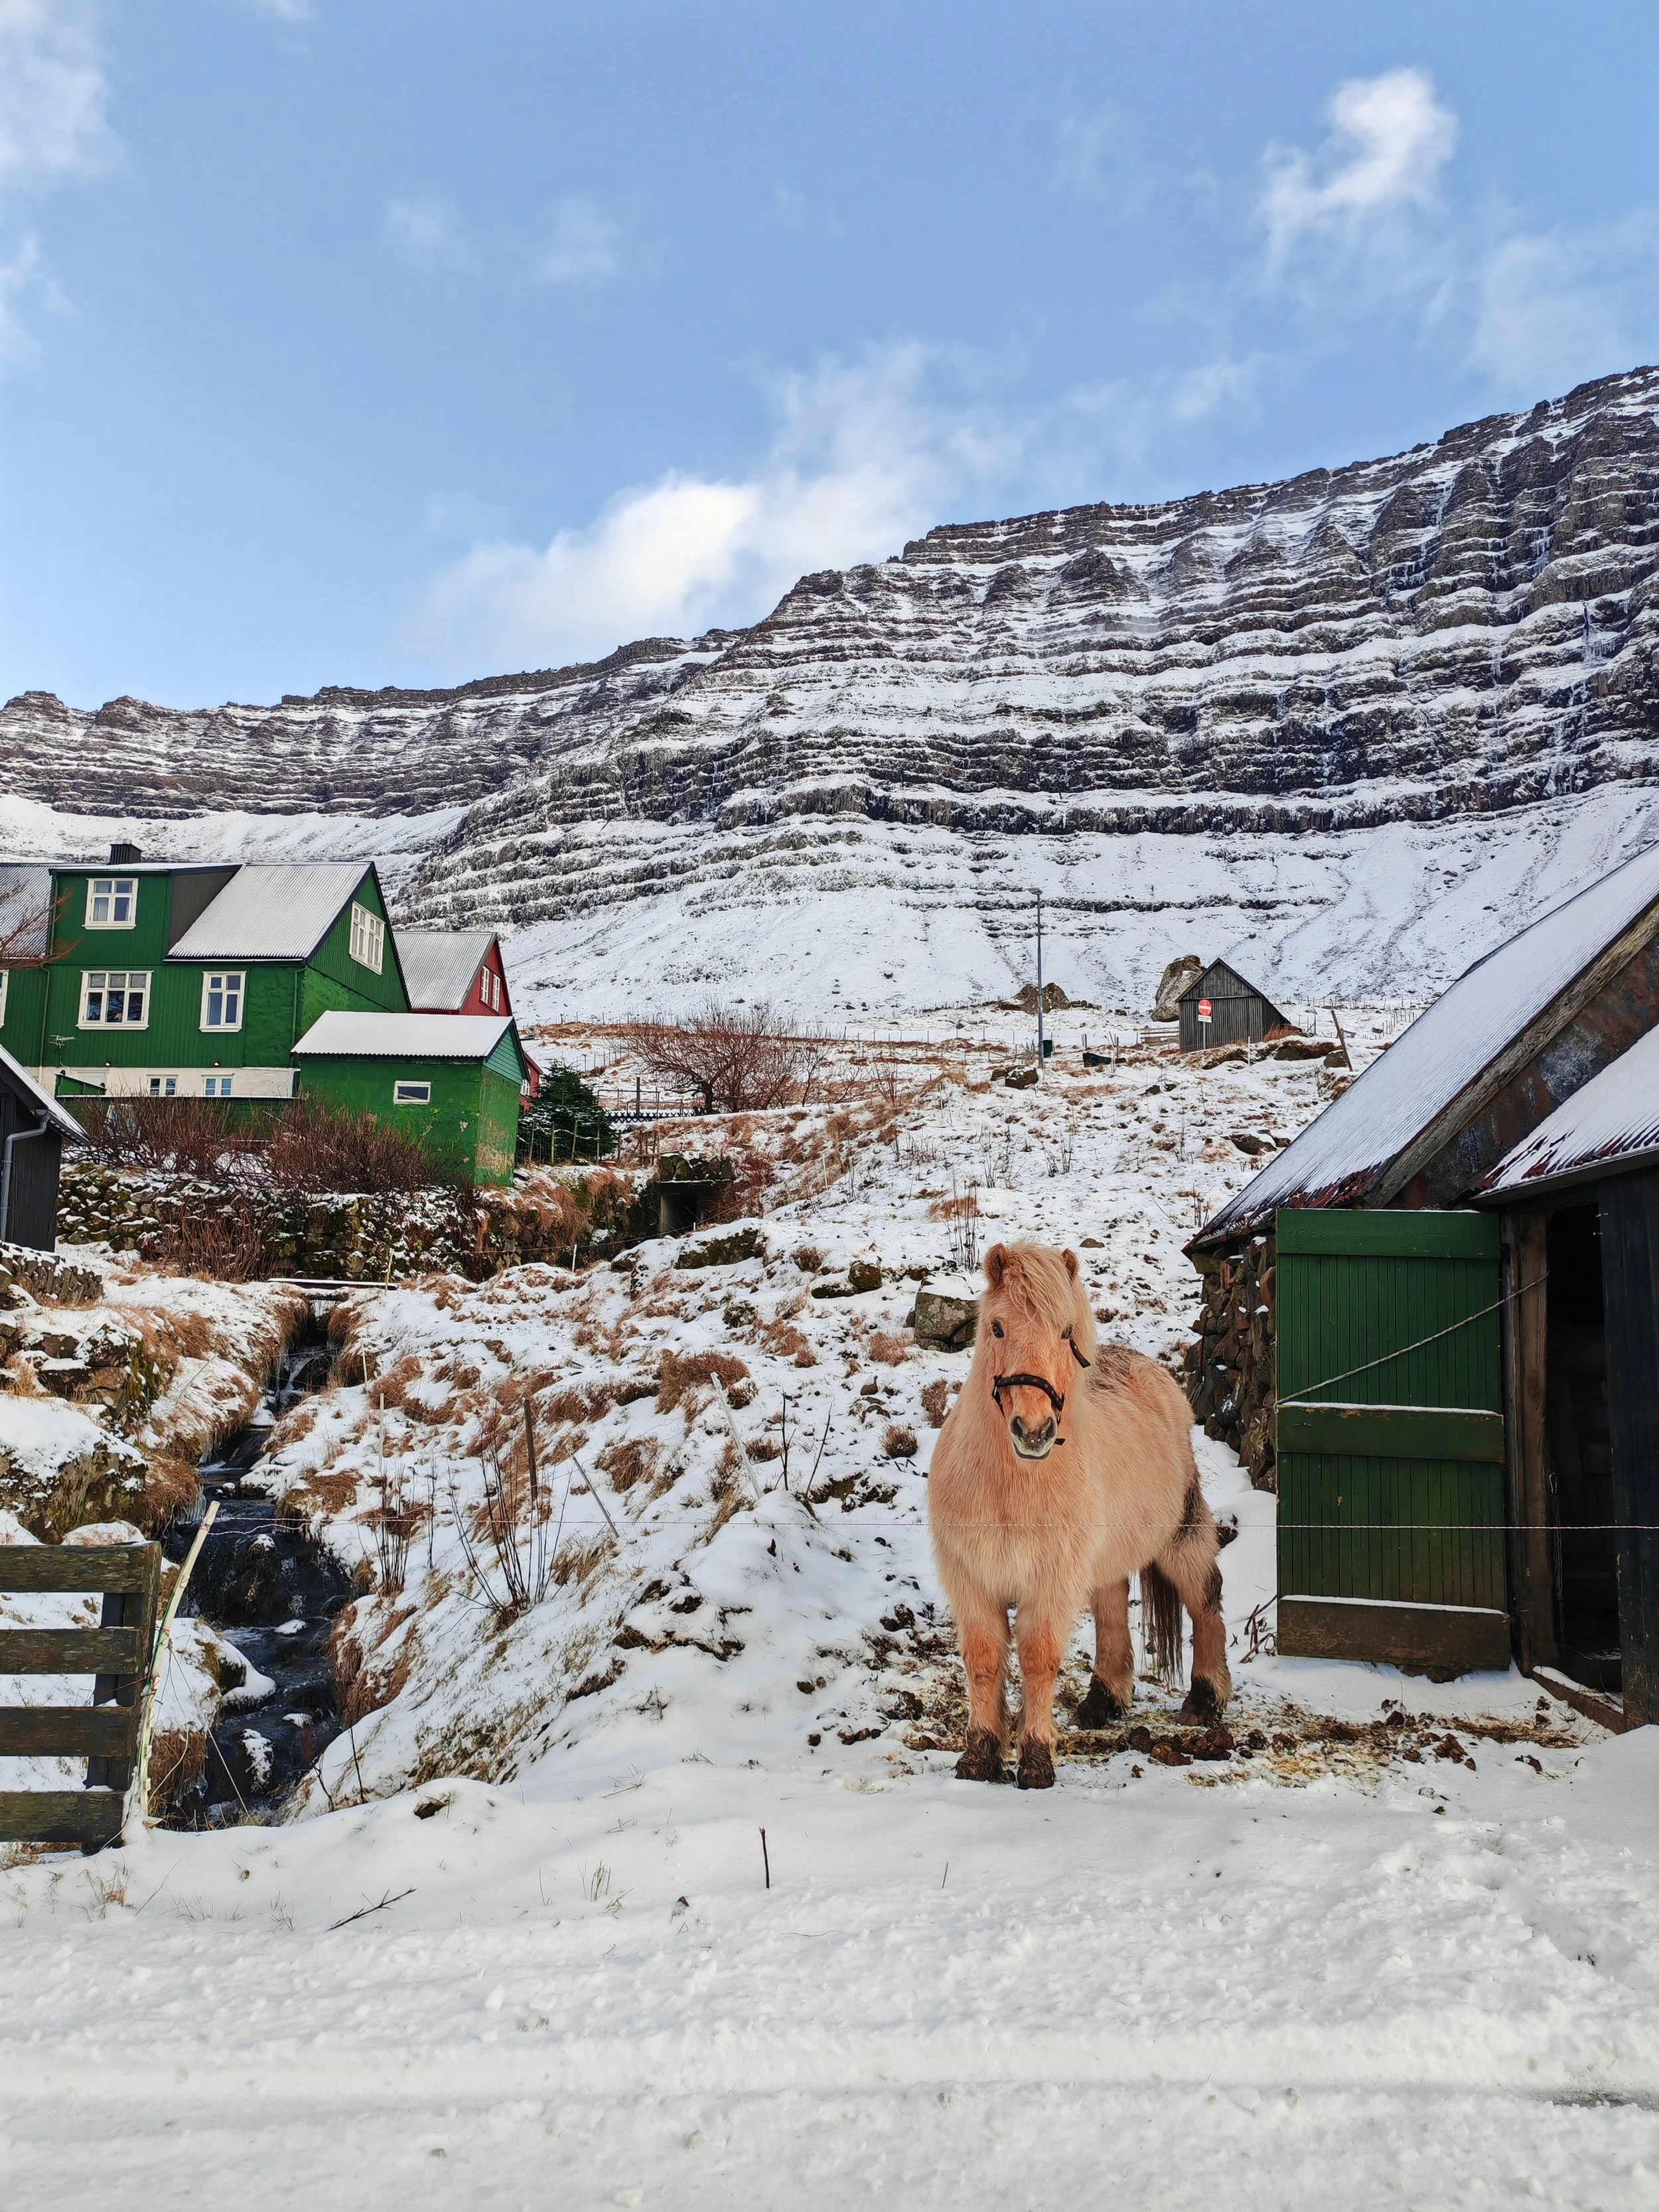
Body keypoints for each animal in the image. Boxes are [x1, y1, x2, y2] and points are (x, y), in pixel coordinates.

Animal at [927, 1239, 1231, 1789]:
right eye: (996, 1327)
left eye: (1067, 1332)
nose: (1034, 1431)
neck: (1011, 1487)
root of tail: (1153, 1371)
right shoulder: (972, 1580)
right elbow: (984, 1659)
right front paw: (979, 1755)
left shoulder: (1050, 1581)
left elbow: (1038, 1657)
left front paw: (1035, 1759)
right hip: (1103, 1558)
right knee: (1112, 1611)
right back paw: (1101, 1702)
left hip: (1179, 1532)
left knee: (1205, 1599)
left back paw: (1203, 1699)